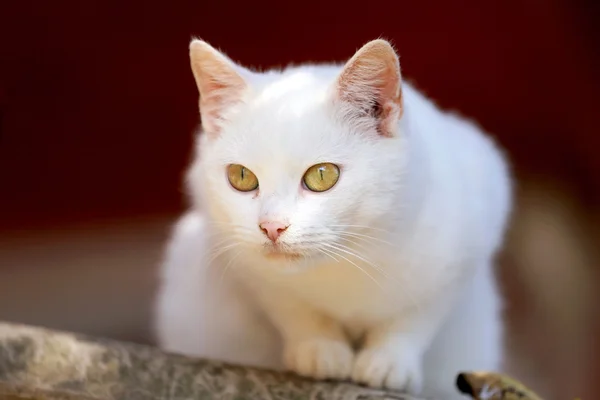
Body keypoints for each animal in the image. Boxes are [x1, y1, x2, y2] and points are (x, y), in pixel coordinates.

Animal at [154, 38, 510, 400]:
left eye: (322, 175)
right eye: (241, 176)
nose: (271, 226)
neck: (344, 261)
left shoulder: (467, 237)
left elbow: (415, 316)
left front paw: (389, 363)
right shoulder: (244, 262)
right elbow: (290, 306)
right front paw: (319, 350)